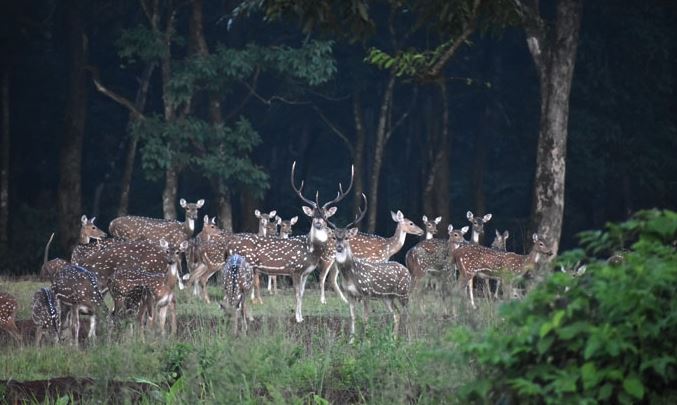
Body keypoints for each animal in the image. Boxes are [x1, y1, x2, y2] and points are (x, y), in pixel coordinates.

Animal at [227, 161, 354, 322]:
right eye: (312, 215)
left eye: (325, 216)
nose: (319, 223)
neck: (311, 251)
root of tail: (229, 244)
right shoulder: (295, 269)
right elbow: (297, 294)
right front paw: (298, 318)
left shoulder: (306, 272)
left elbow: (302, 294)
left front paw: (301, 317)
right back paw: (245, 317)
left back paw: (247, 317)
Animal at [326, 194, 406, 340]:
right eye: (334, 237)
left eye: (347, 237)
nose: (339, 247)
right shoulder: (350, 294)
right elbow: (352, 317)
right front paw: (352, 340)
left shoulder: (366, 292)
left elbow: (366, 318)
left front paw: (367, 340)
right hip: (387, 297)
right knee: (397, 313)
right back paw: (393, 338)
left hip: (404, 292)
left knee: (407, 312)